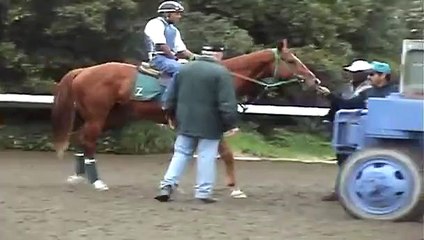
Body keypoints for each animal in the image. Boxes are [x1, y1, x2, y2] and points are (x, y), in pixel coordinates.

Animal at [51, 39, 320, 196]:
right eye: (290, 60)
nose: (314, 80)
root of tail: (84, 71)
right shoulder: (214, 126)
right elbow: (227, 155)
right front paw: (235, 188)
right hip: (98, 117)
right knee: (88, 141)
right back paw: (97, 182)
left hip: (113, 117)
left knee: (81, 138)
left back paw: (79, 176)